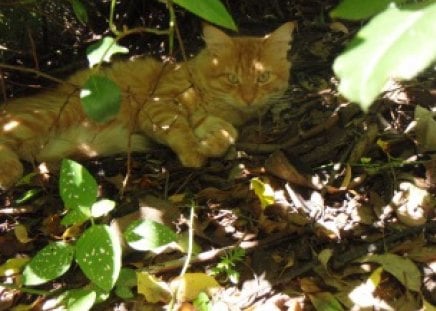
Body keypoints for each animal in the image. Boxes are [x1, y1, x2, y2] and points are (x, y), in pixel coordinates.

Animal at [0, 22, 294, 190]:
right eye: (232, 78)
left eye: (263, 77)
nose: (248, 98)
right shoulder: (159, 105)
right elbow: (180, 130)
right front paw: (194, 154)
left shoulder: (207, 117)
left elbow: (227, 132)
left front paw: (211, 144)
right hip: (47, 115)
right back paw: (8, 174)